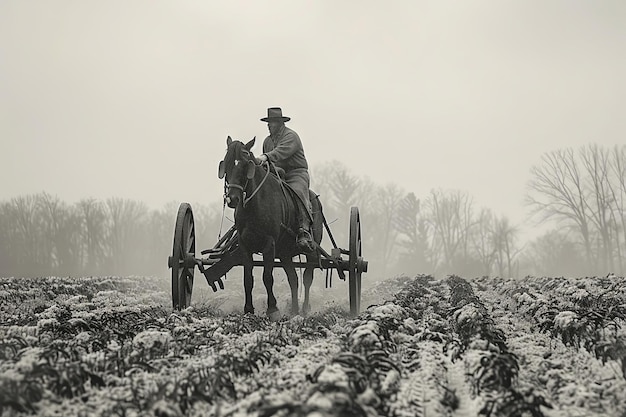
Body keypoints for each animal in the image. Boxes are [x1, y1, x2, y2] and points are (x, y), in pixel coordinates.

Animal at [216, 136, 322, 318]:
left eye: (245, 165)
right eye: (227, 164)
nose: (233, 199)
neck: (255, 203)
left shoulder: (269, 244)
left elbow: (267, 277)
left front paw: (272, 309)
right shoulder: (245, 245)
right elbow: (248, 278)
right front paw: (248, 309)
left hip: (312, 251)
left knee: (307, 278)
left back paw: (304, 309)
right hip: (286, 253)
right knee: (293, 279)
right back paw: (294, 310)